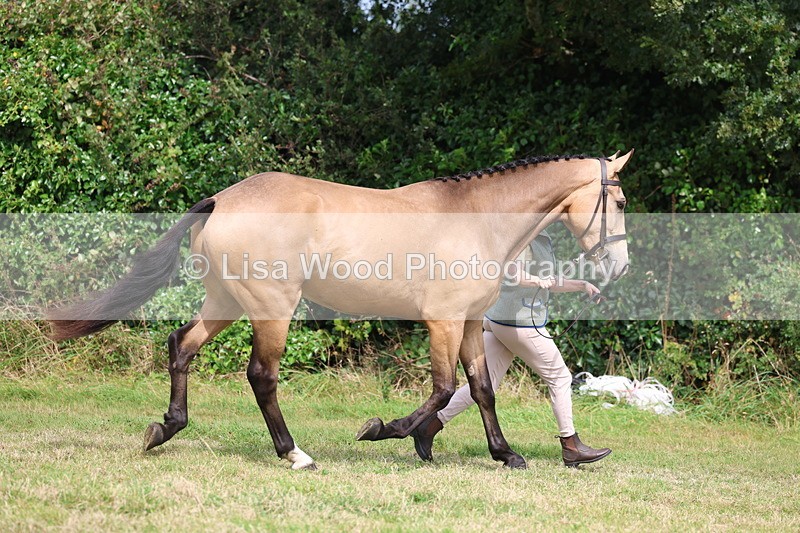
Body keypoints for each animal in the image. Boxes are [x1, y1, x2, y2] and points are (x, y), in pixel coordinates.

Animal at [48, 150, 633, 470]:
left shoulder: (468, 323)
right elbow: (444, 389)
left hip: (225, 302)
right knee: (261, 375)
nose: (620, 267)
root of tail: (223, 199)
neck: (476, 218)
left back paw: (166, 429)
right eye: (623, 202)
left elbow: (481, 389)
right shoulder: (442, 322)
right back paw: (295, 454)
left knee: (181, 347)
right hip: (272, 308)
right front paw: (386, 430)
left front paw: (506, 455)